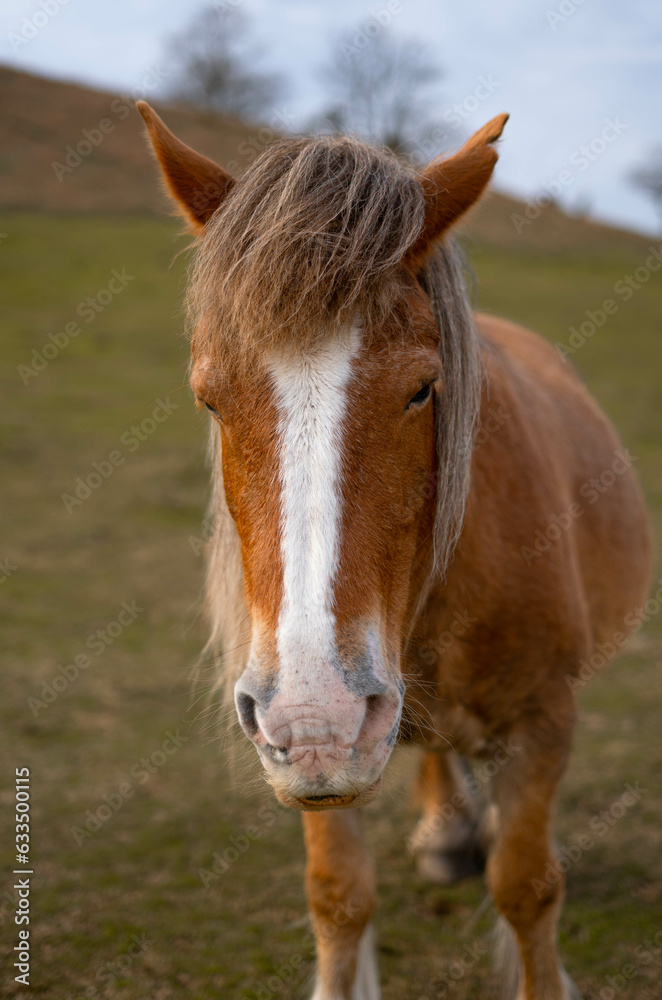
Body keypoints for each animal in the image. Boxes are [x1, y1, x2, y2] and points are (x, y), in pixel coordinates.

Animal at [137, 103, 652, 1000]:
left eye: (421, 388)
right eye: (210, 397)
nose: (319, 718)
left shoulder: (545, 720)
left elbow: (528, 888)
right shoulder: (305, 760)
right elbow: (338, 896)